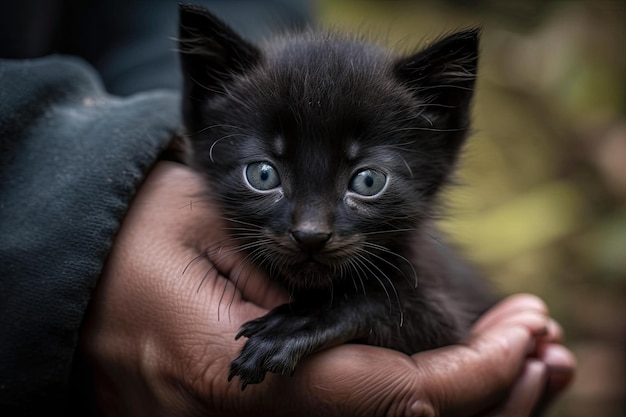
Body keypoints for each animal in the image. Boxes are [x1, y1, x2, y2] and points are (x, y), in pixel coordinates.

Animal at [178, 4, 494, 390]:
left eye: (368, 181)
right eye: (263, 174)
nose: (310, 235)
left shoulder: (448, 315)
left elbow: (383, 304)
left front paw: (294, 326)